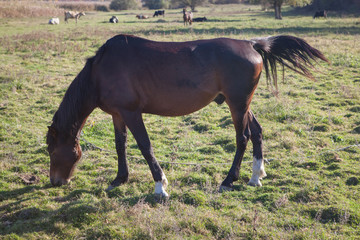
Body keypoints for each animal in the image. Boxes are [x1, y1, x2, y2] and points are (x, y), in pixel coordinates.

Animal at [47, 34, 330, 198]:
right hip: (242, 103)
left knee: (243, 138)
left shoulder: (132, 113)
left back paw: (229, 180)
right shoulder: (118, 114)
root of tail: (251, 44)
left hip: (237, 104)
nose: (56, 182)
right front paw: (120, 178)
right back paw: (255, 176)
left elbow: (145, 146)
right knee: (258, 132)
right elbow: (120, 145)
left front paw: (160, 185)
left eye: (51, 150)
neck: (100, 71)